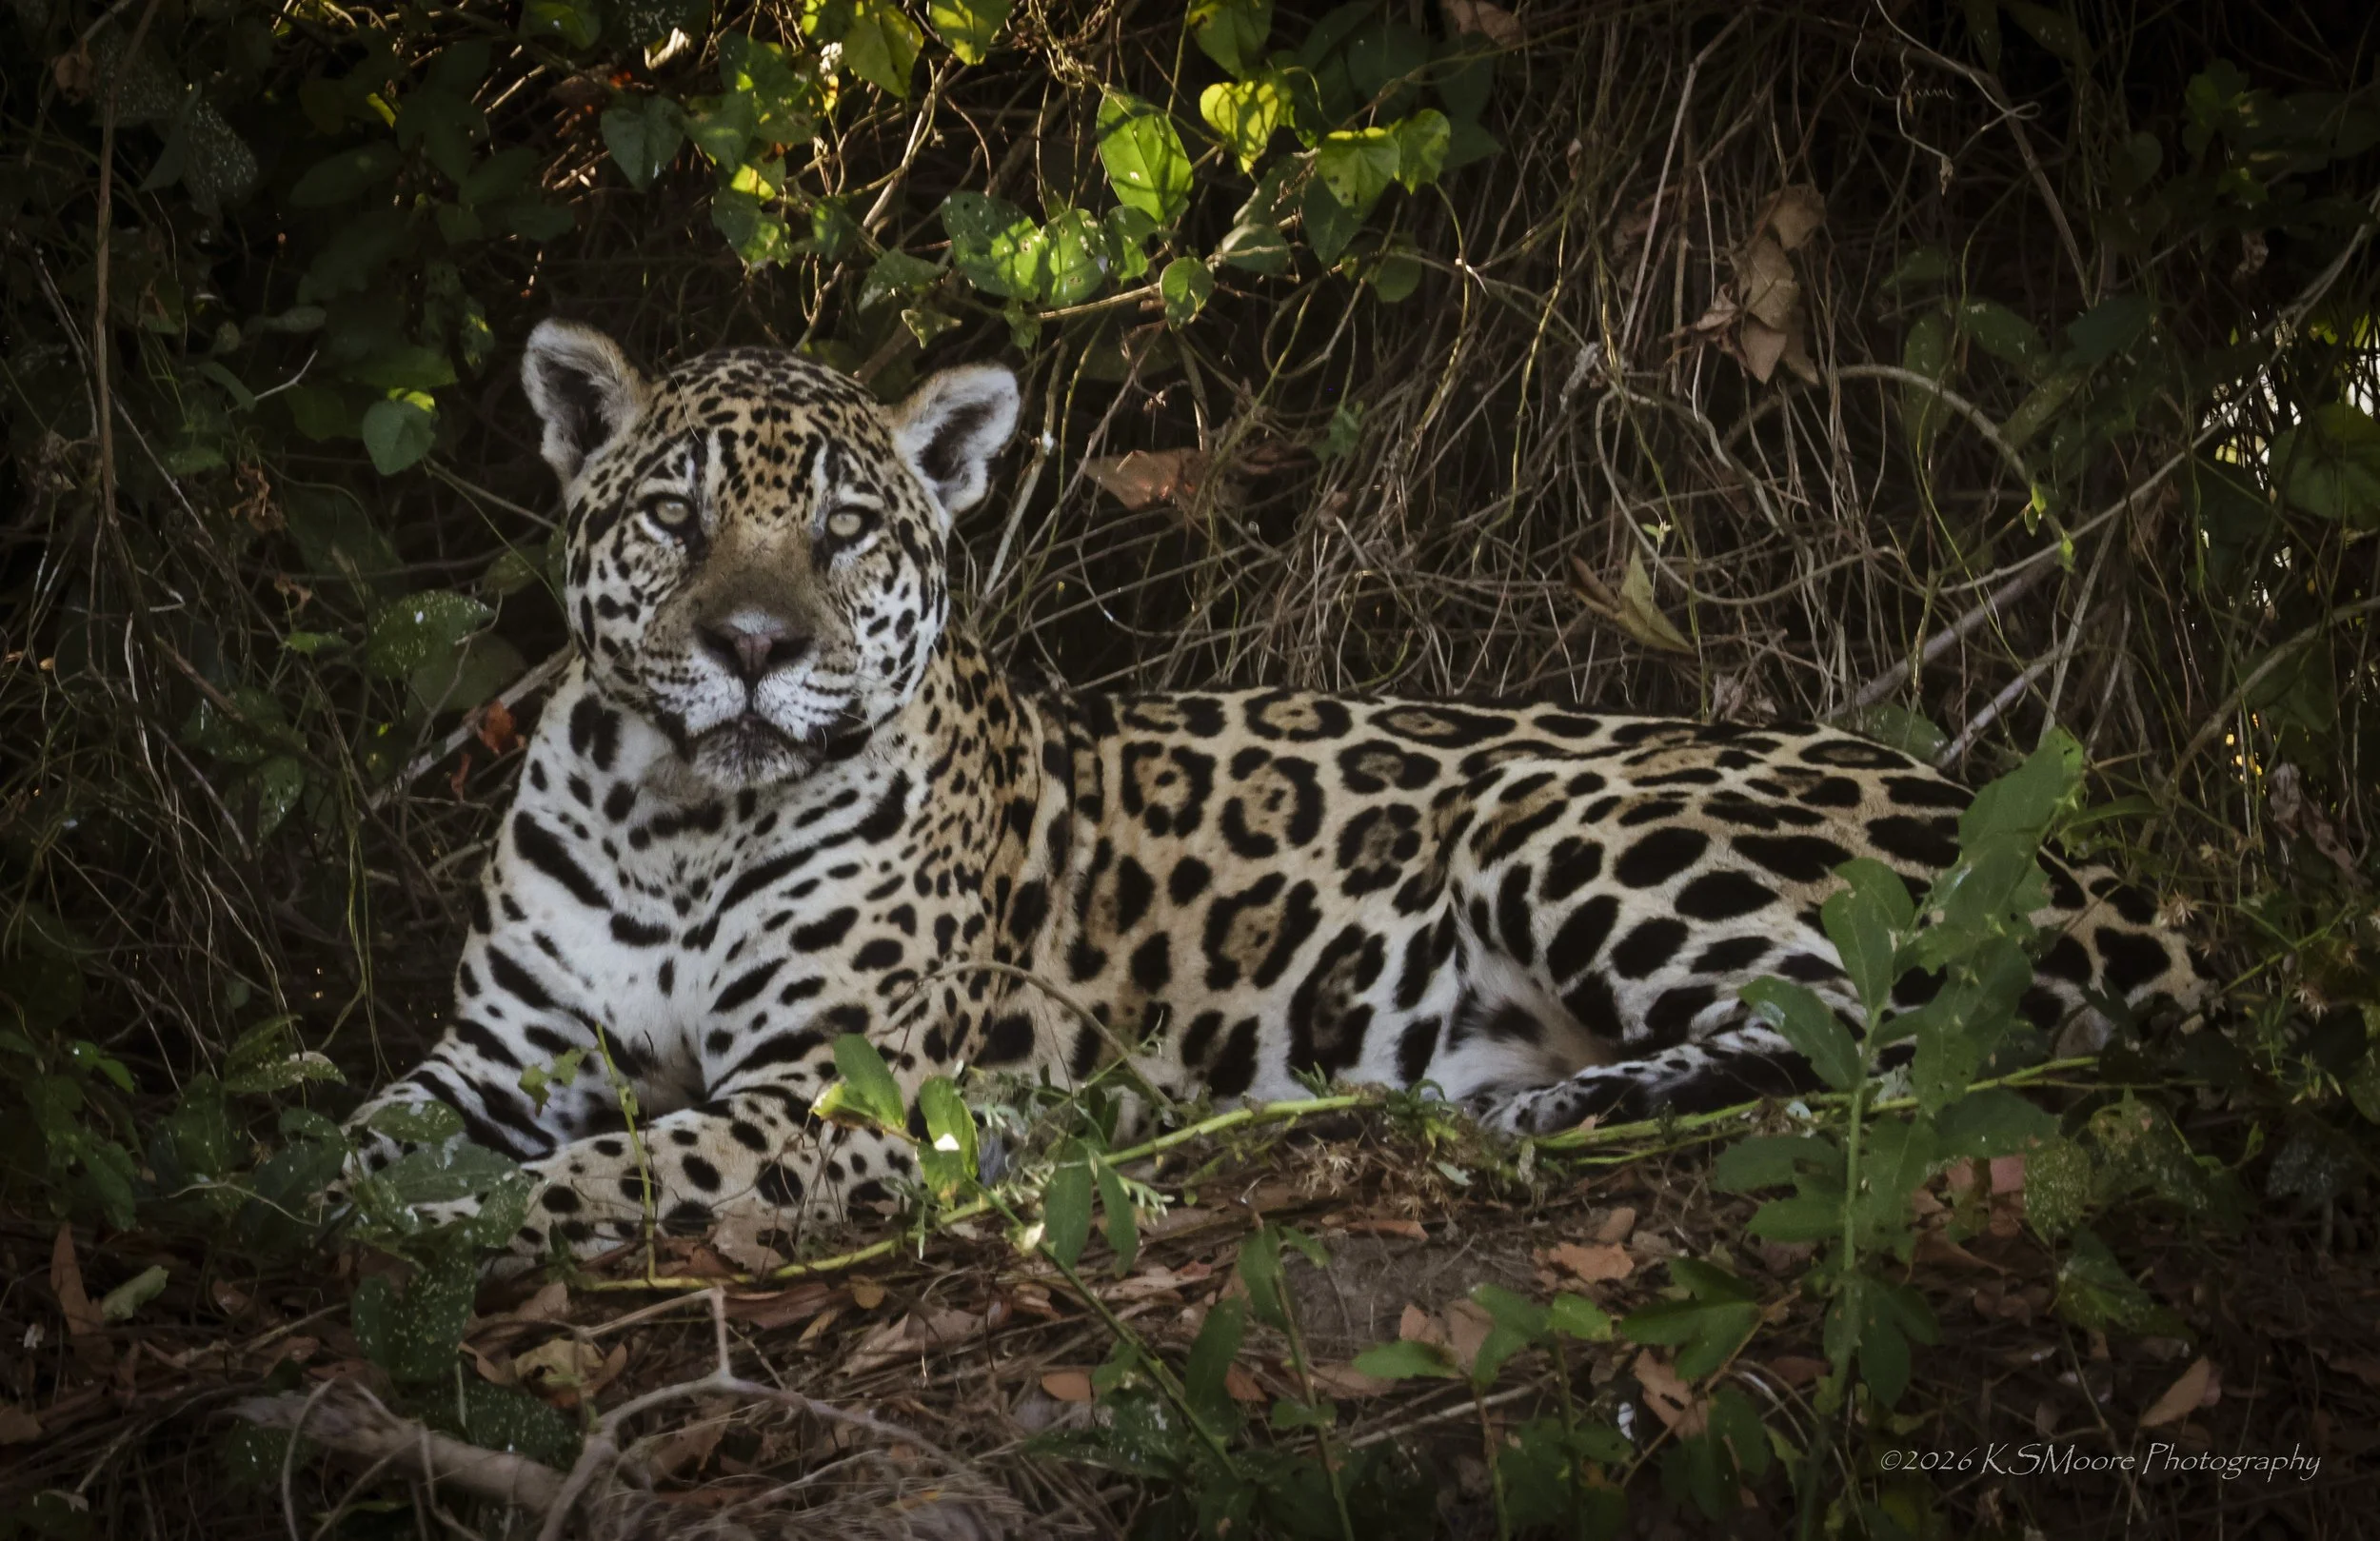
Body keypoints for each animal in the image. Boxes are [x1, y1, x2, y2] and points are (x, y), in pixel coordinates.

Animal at [343, 319, 2207, 1264]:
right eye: (674, 514)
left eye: (848, 531)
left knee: (1887, 1035)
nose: (747, 643)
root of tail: (2108, 864)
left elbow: (619, 1170)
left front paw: (463, 1220)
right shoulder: (499, 1051)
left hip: (1577, 819)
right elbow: (359, 1134)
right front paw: (322, 1199)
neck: (684, 823)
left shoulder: (843, 1090)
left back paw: (1561, 1108)